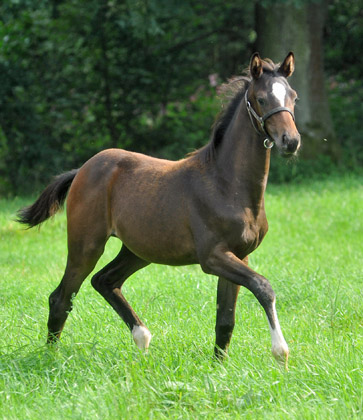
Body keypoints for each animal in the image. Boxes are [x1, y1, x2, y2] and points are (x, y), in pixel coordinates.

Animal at [17, 52, 302, 368]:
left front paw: (219, 368)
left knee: (104, 281)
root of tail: (82, 170)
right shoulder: (212, 257)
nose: (291, 141)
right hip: (86, 245)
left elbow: (225, 319)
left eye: (293, 97)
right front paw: (280, 352)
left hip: (138, 251)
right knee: (62, 297)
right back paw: (50, 359)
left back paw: (141, 337)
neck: (227, 184)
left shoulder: (240, 255)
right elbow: (263, 287)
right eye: (262, 99)